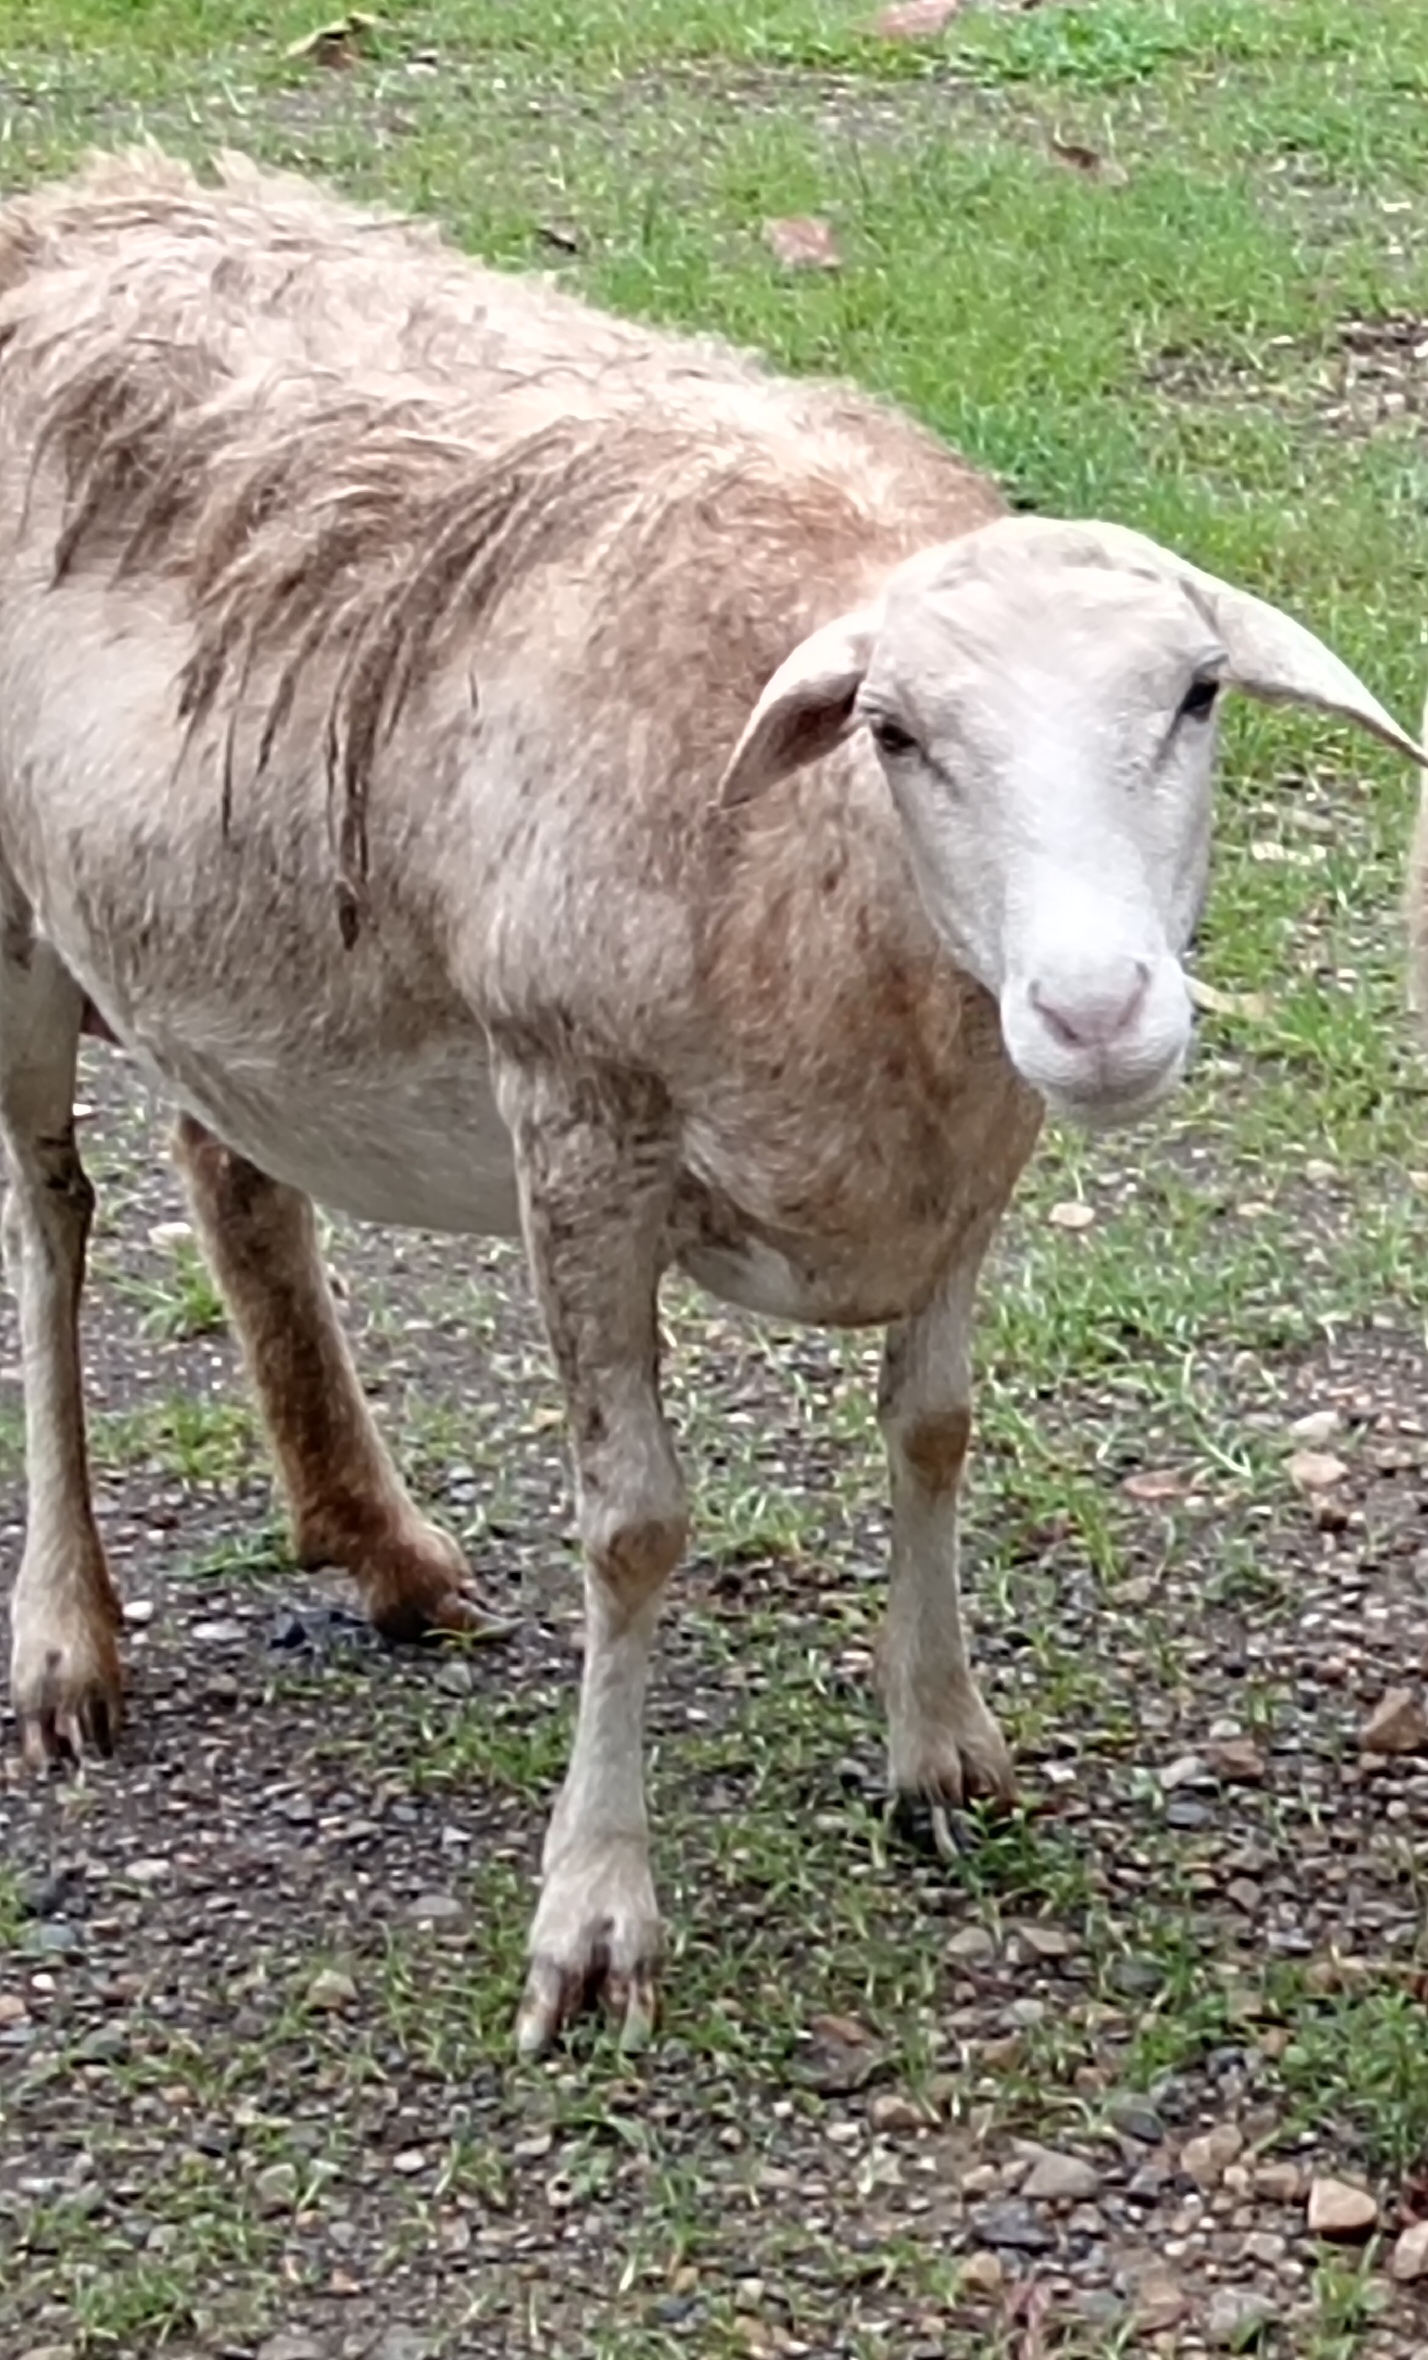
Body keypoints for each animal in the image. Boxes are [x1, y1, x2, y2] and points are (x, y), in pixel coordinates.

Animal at [0, 149, 1421, 2057]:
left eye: (1196, 695)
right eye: (892, 733)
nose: (1096, 1011)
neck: (832, 887)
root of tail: (97, 199)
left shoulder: (969, 1164)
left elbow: (933, 1433)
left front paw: (936, 1751)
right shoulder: (575, 1130)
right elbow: (635, 1526)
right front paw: (594, 1912)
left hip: (229, 940)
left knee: (229, 1174)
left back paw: (372, 1540)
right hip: (19, 926)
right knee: (54, 1223)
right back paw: (67, 1639)